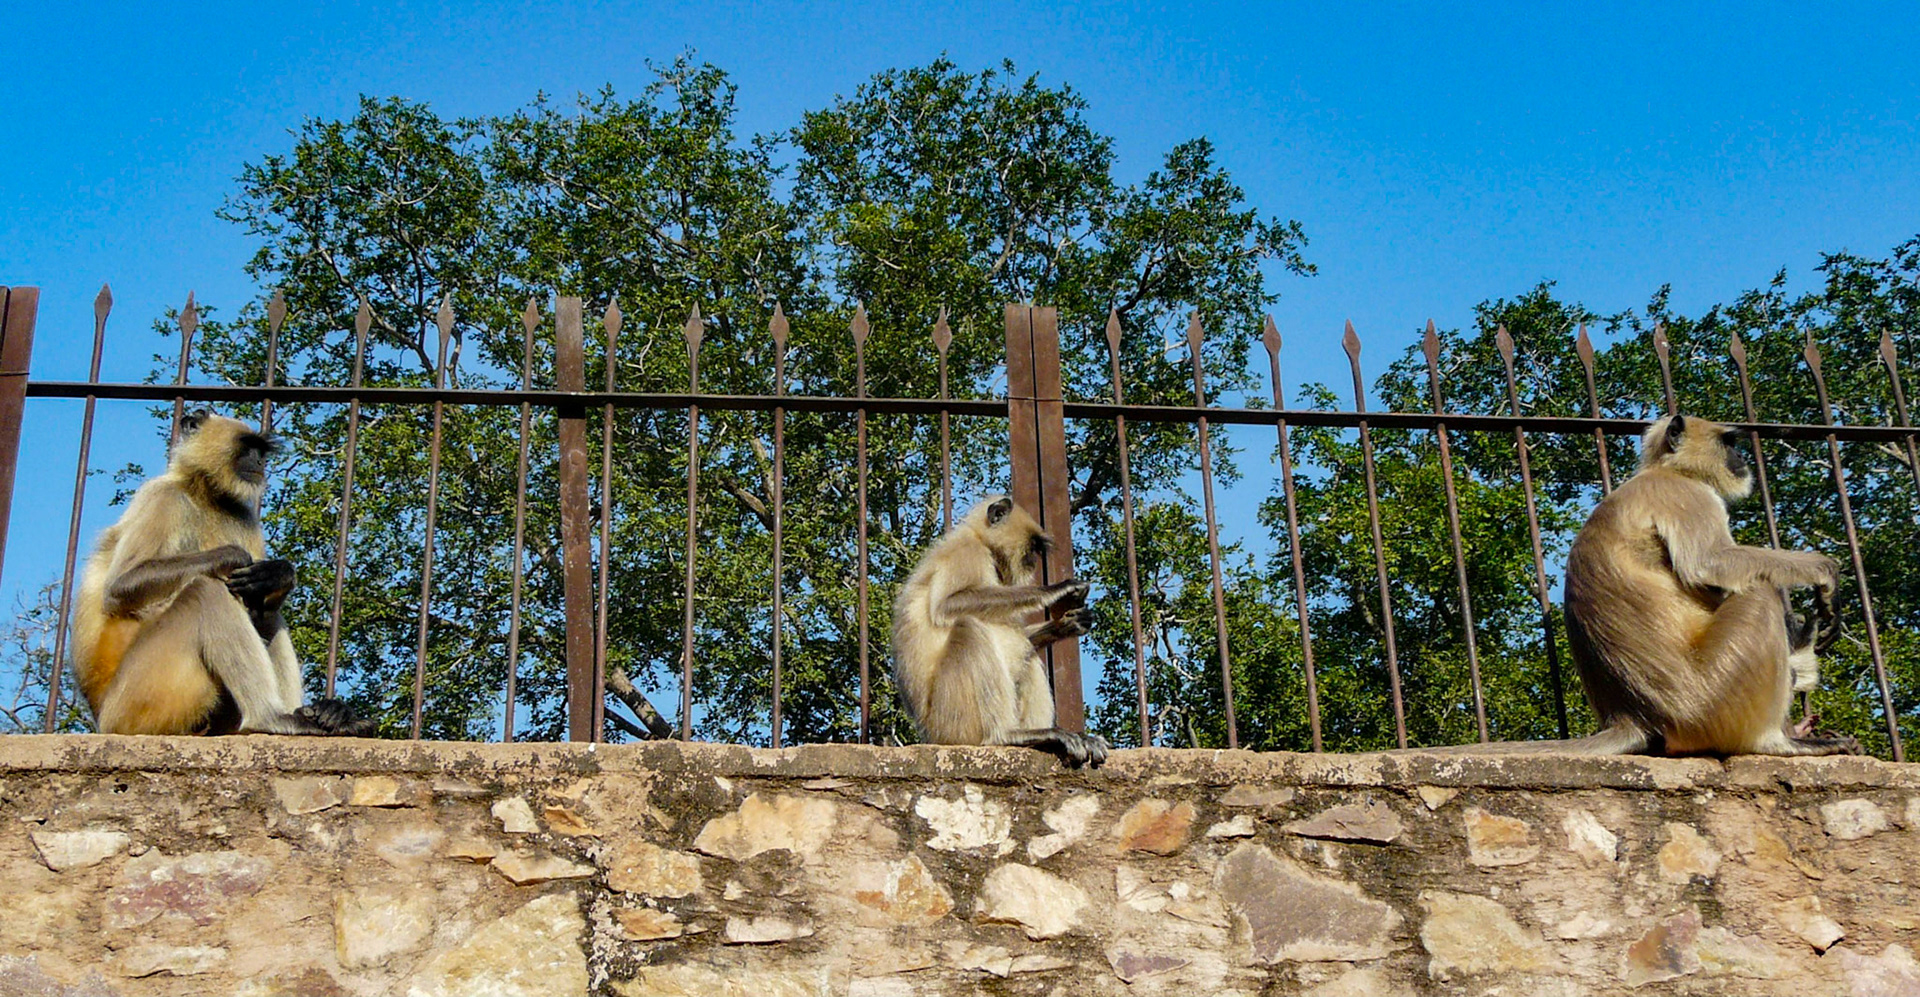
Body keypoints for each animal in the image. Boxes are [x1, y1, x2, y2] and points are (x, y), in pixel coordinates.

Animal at [70, 410, 375, 737]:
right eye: (248, 447)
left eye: (261, 450)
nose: (259, 462)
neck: (204, 495)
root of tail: (101, 718)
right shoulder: (162, 496)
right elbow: (121, 587)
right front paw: (231, 556)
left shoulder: (242, 515)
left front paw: (279, 574)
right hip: (137, 702)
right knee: (206, 591)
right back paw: (270, 718)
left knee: (263, 610)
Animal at [892, 495, 1111, 768]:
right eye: (1033, 547)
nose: (1034, 561)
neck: (977, 537)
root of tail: (928, 734)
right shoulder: (967, 552)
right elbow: (945, 605)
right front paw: (1055, 590)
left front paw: (1067, 623)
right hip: (950, 719)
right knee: (970, 628)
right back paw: (1006, 735)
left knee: (1026, 654)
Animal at [1431, 414, 1857, 757]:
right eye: (1729, 442)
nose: (1743, 461)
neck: (1666, 471)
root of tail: (1631, 714)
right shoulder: (1684, 495)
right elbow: (1710, 564)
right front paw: (1823, 571)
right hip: (1716, 697)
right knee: (1760, 589)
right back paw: (1778, 741)